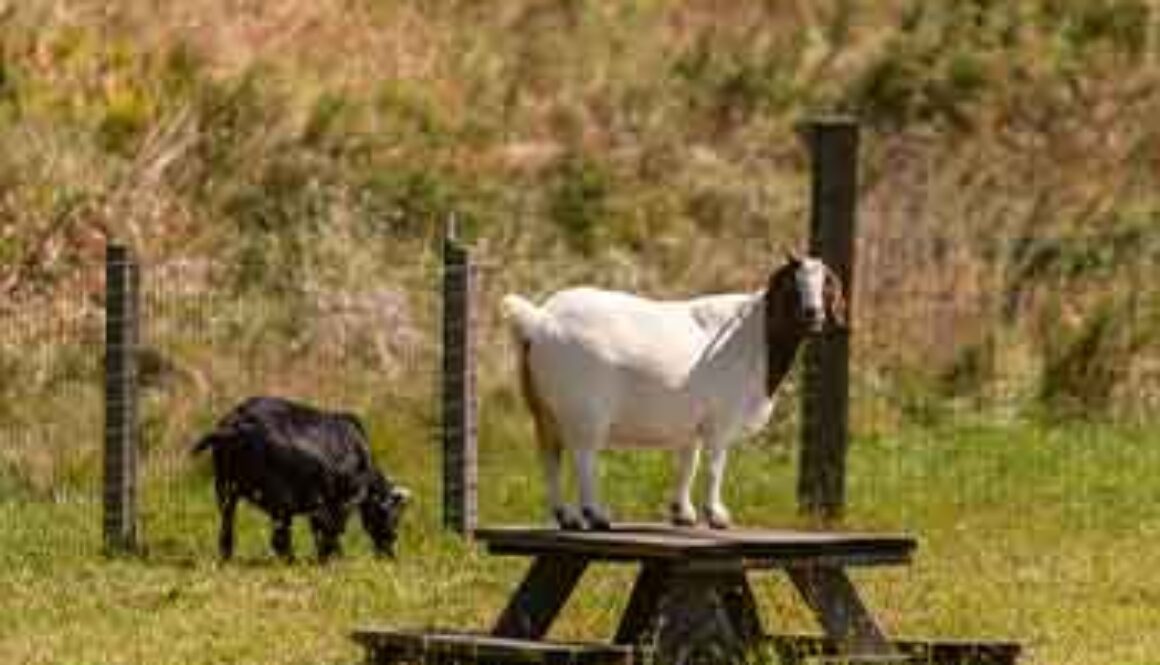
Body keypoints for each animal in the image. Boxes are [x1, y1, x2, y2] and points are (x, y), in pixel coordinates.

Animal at [501, 253, 845, 530]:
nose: (813, 313)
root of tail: (540, 321)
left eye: (827, 283)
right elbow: (715, 465)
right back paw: (595, 515)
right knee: (584, 457)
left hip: (545, 412)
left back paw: (566, 516)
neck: (755, 337)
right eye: (792, 285)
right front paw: (716, 515)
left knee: (550, 458)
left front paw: (683, 514)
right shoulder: (722, 419)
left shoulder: (691, 423)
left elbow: (688, 463)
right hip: (584, 411)